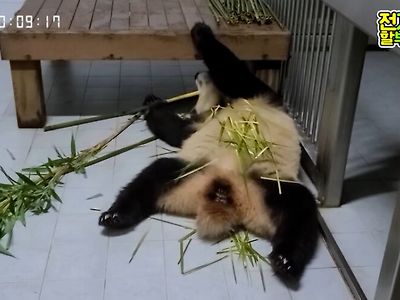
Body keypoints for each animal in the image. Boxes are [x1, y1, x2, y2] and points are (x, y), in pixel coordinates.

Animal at [100, 22, 318, 286]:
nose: (197, 74)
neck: (218, 105)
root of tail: (225, 197)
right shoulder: (201, 123)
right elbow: (176, 130)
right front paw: (152, 101)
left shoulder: (253, 94)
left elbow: (230, 70)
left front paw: (201, 31)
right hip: (191, 173)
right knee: (153, 176)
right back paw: (116, 215)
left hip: (269, 185)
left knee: (302, 212)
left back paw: (286, 261)